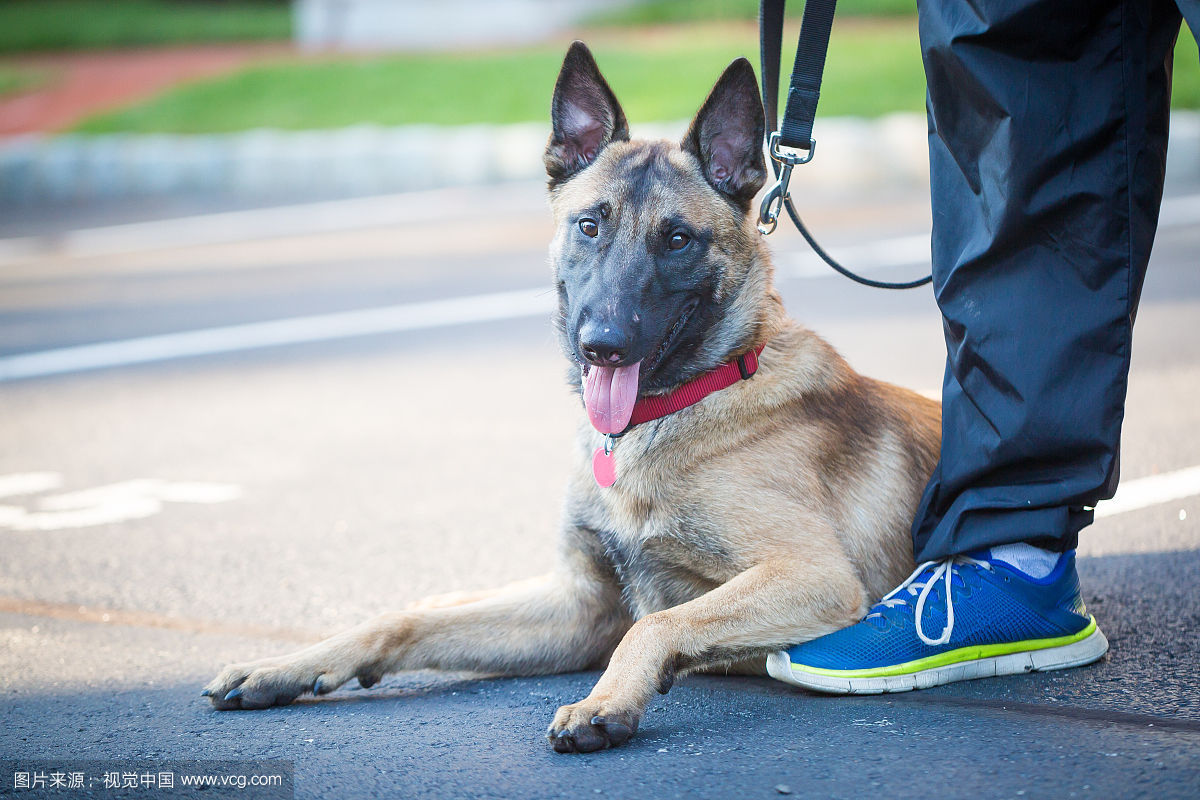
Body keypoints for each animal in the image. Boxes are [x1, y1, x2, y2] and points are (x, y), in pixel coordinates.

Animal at [201, 42, 940, 758]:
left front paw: (604, 702)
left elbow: (656, 624)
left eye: (677, 239)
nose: (601, 346)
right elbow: (405, 618)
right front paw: (286, 666)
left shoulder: (813, 577)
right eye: (590, 226)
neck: (683, 405)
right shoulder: (580, 607)